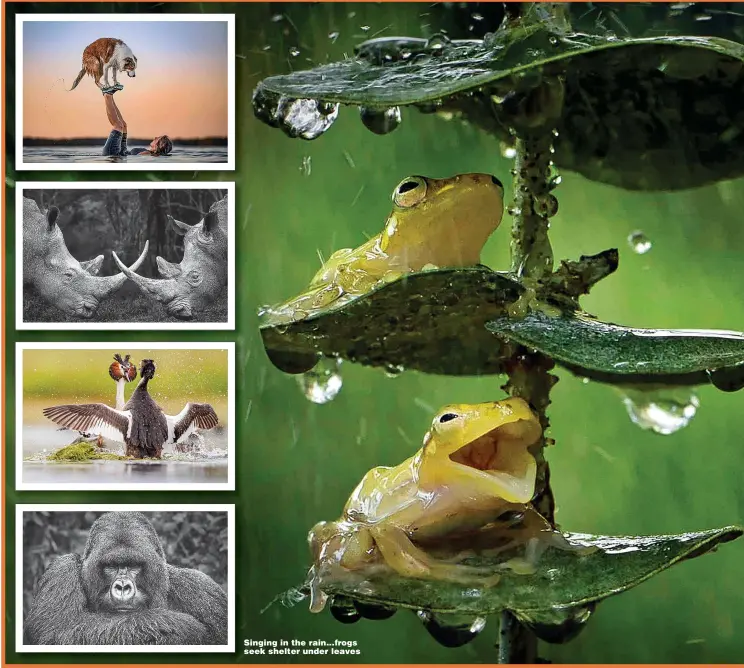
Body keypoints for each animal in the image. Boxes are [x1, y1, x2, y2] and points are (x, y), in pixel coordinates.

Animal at [24, 512, 227, 648]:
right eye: (111, 566)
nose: (122, 586)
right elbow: (57, 633)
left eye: (134, 565)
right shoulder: (60, 572)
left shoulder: (203, 591)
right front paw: (182, 627)